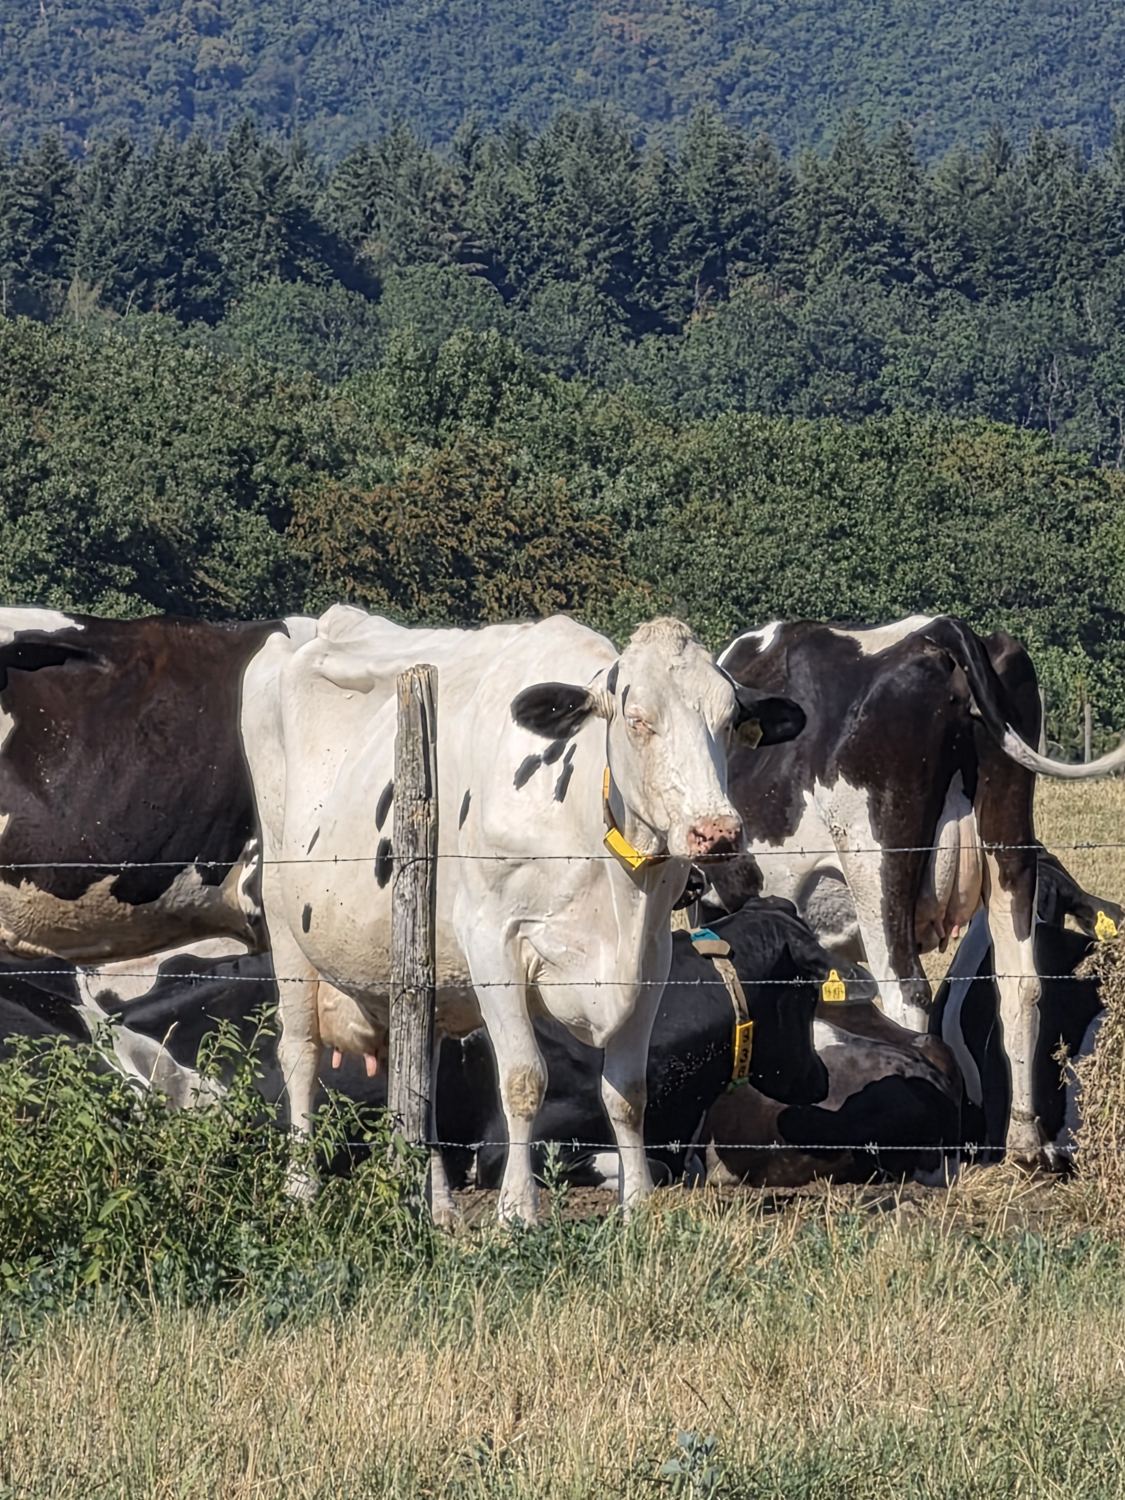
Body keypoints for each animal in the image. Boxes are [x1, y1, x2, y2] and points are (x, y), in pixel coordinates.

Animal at [240, 607, 805, 1224]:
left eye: (729, 722)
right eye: (637, 720)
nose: (716, 833)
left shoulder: (651, 955)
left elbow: (628, 1092)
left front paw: (636, 1205)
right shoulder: (493, 941)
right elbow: (522, 1080)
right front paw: (517, 1212)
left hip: (414, 965)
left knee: (418, 1076)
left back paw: (435, 1203)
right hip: (284, 918)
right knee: (301, 1052)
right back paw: (301, 1189)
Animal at [715, 614, 1125, 1165]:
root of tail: (941, 630)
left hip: (877, 864)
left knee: (905, 992)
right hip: (1010, 845)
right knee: (1020, 983)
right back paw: (1024, 1144)